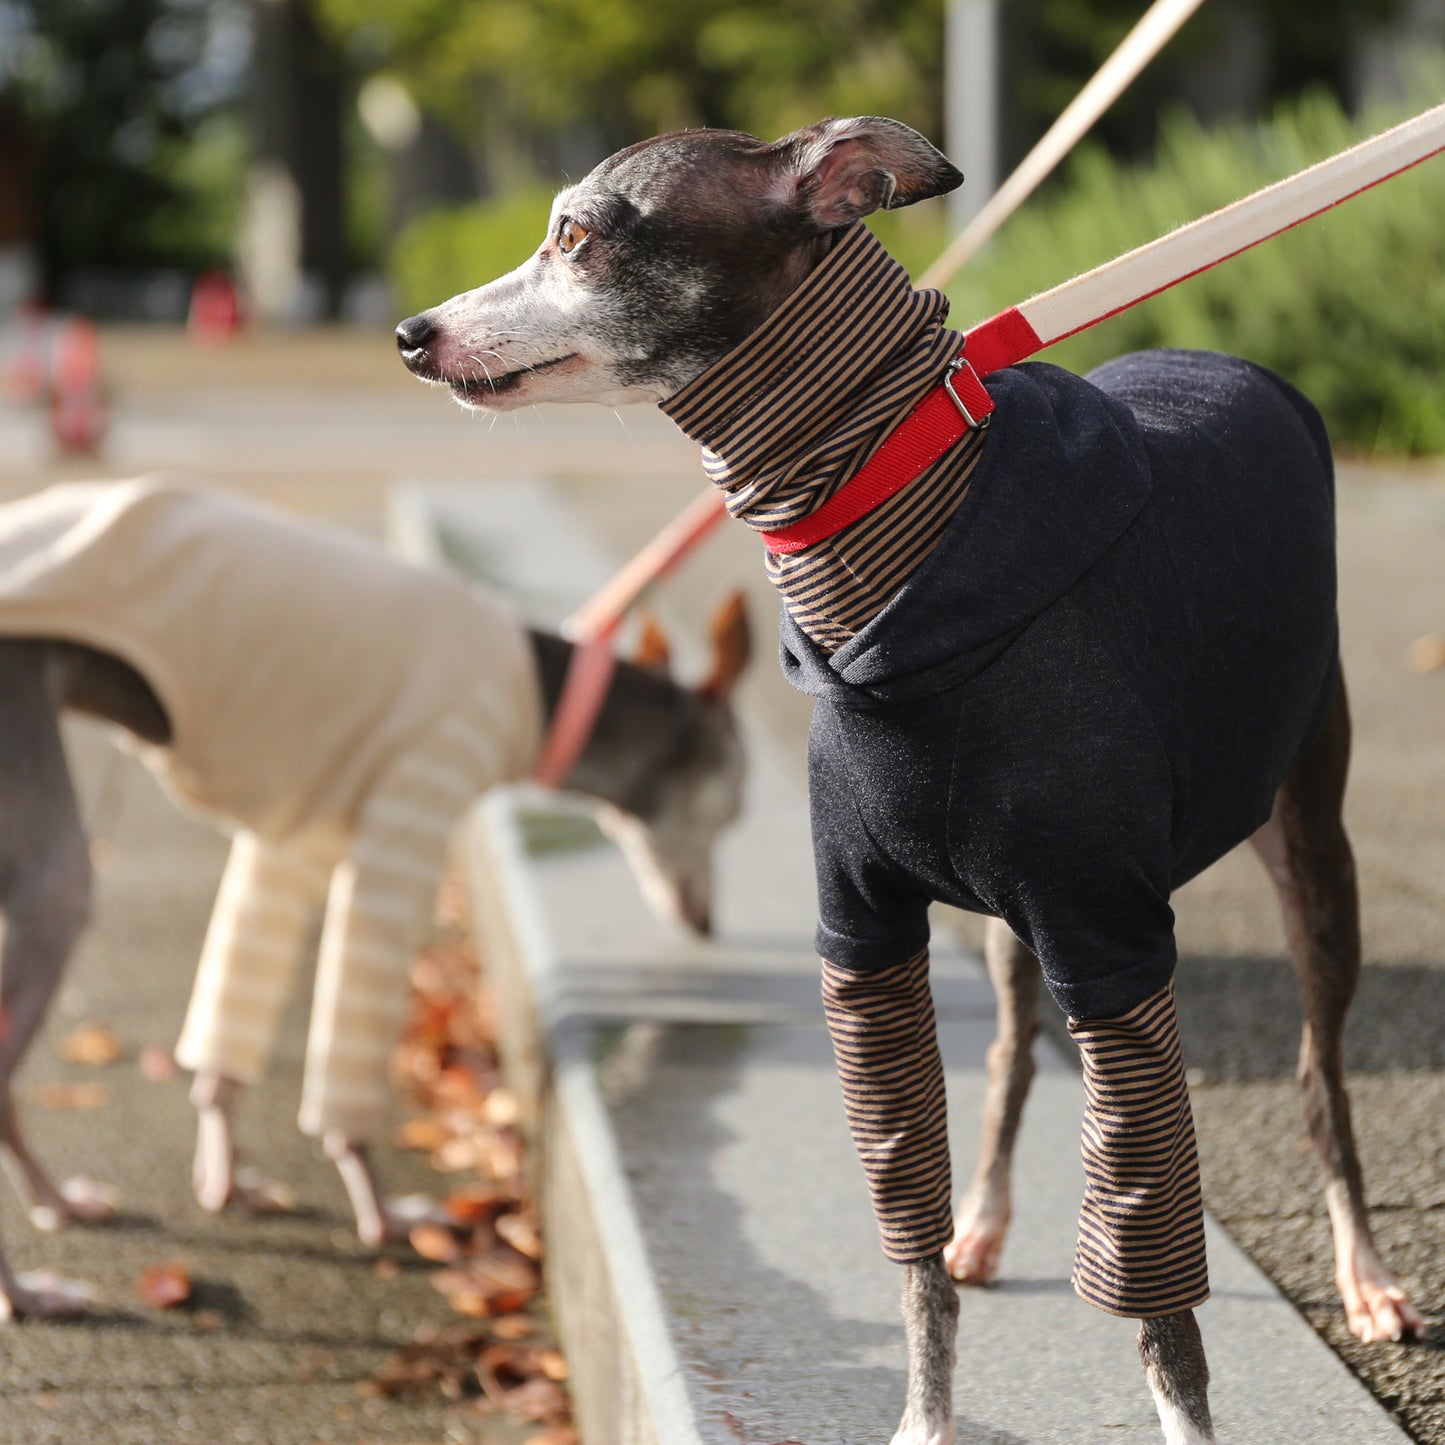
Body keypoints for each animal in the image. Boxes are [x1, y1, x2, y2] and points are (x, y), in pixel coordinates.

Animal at [395, 118, 1421, 1439]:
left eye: (575, 234)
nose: (410, 332)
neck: (898, 550)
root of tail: (1233, 361)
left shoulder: (1114, 939)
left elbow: (1159, 1297)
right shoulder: (867, 932)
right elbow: (912, 1245)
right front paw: (925, 1407)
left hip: (1307, 839)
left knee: (1316, 1075)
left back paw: (1364, 1271)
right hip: (1011, 927)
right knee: (1009, 1056)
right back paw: (988, 1216)